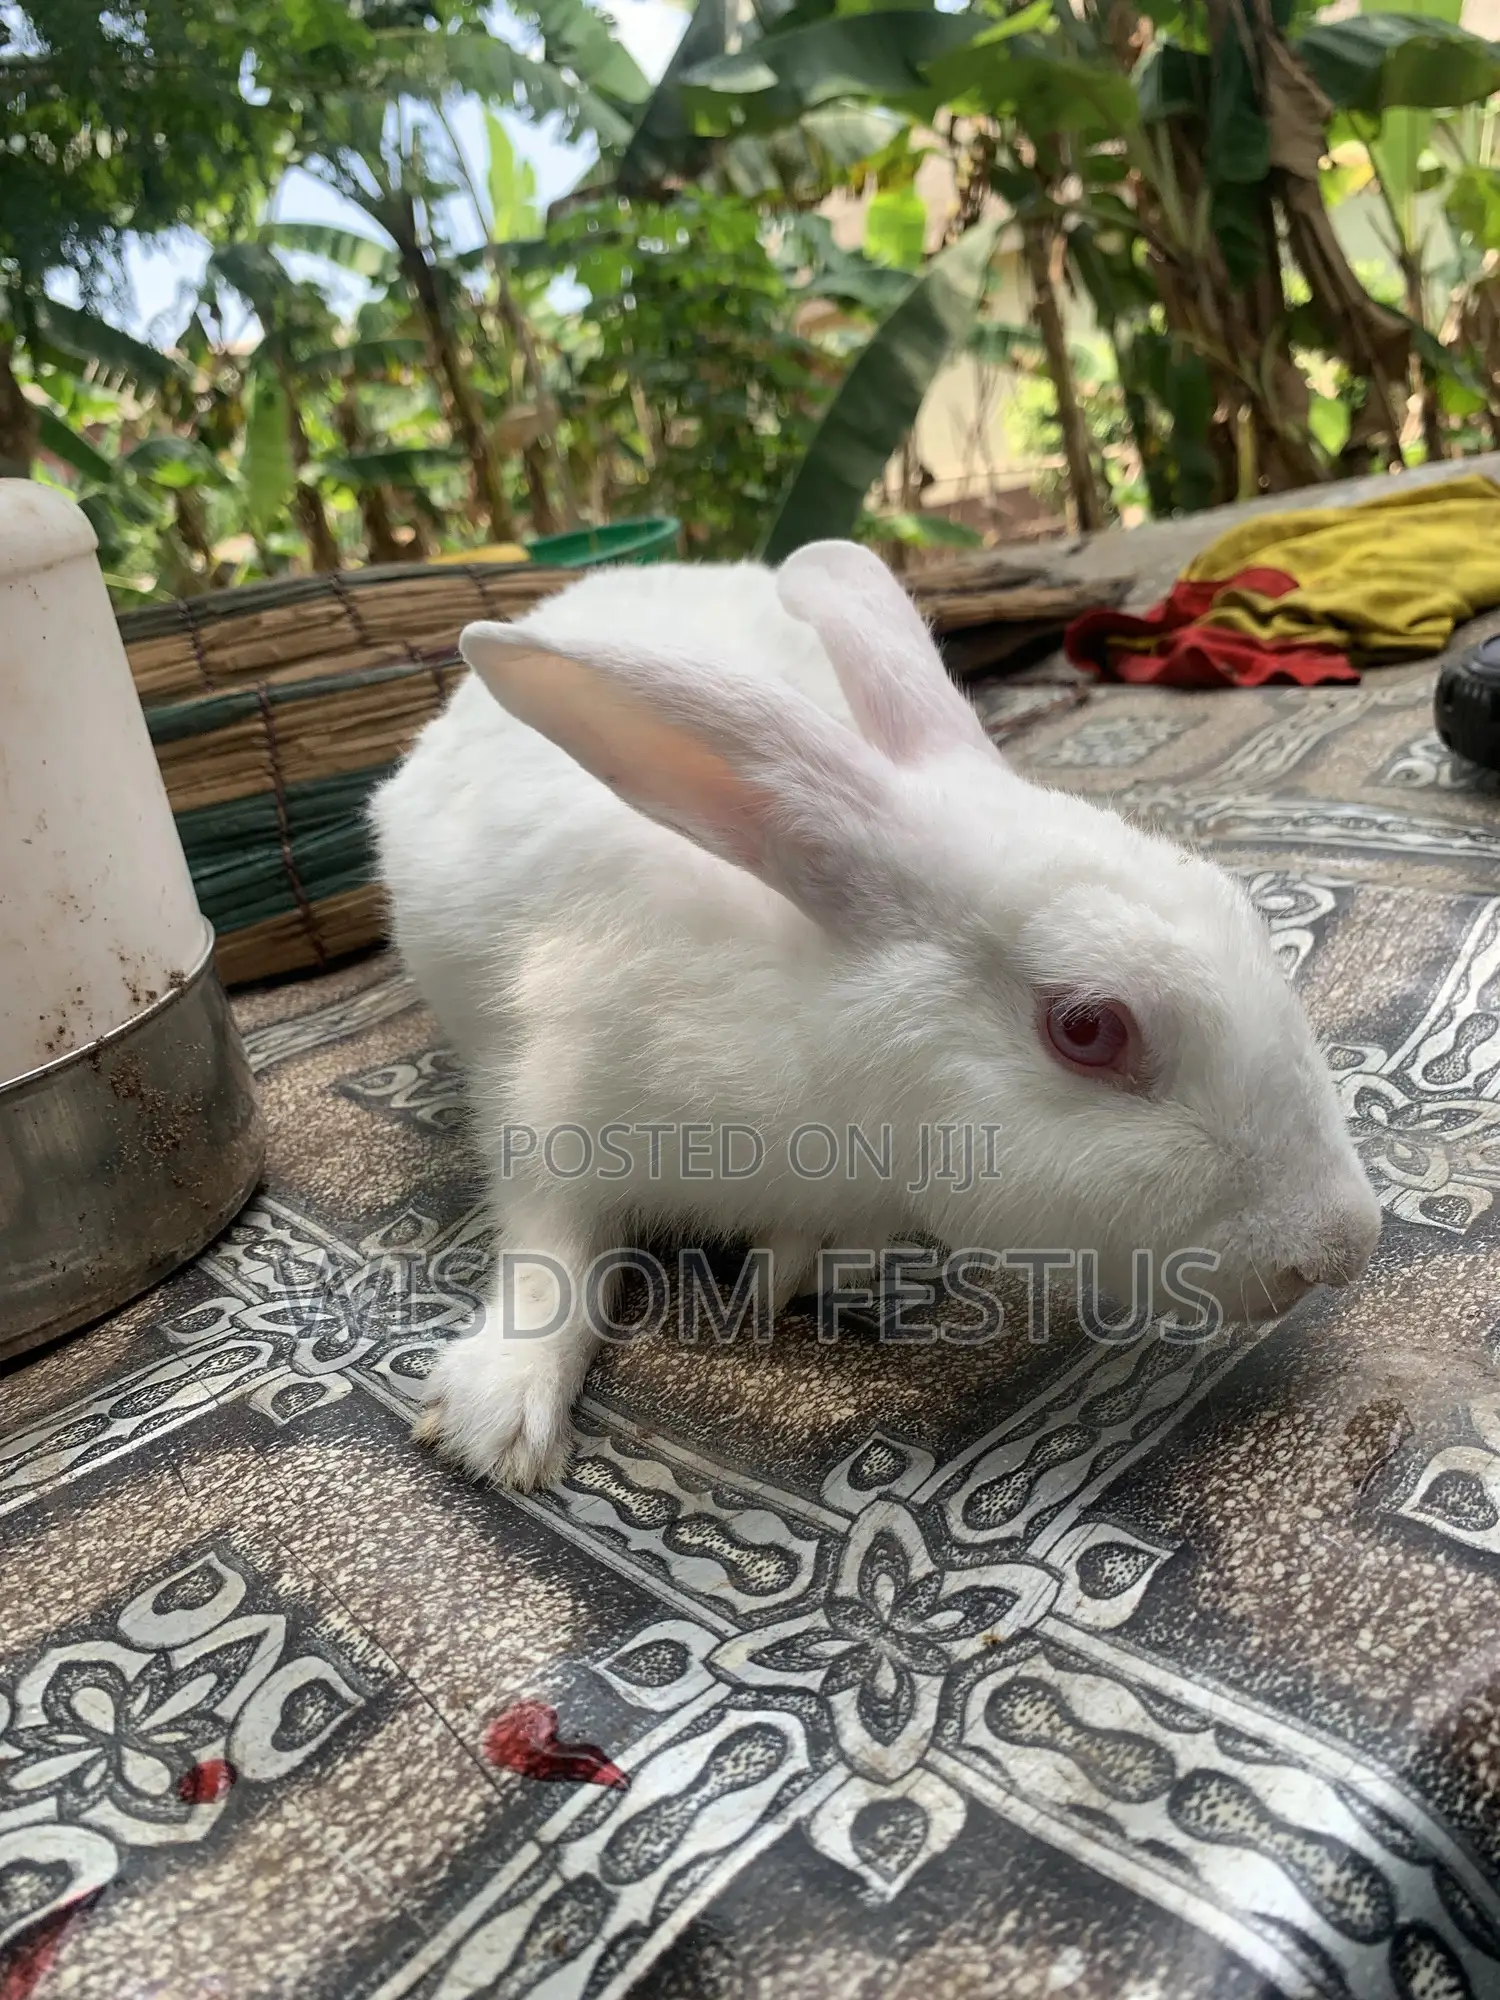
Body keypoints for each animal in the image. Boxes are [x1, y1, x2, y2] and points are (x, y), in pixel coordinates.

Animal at [369, 539, 1382, 1491]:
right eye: (1089, 1028)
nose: (1342, 1247)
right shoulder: (552, 1103)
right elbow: (554, 1251)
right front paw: (497, 1419)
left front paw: (791, 1272)